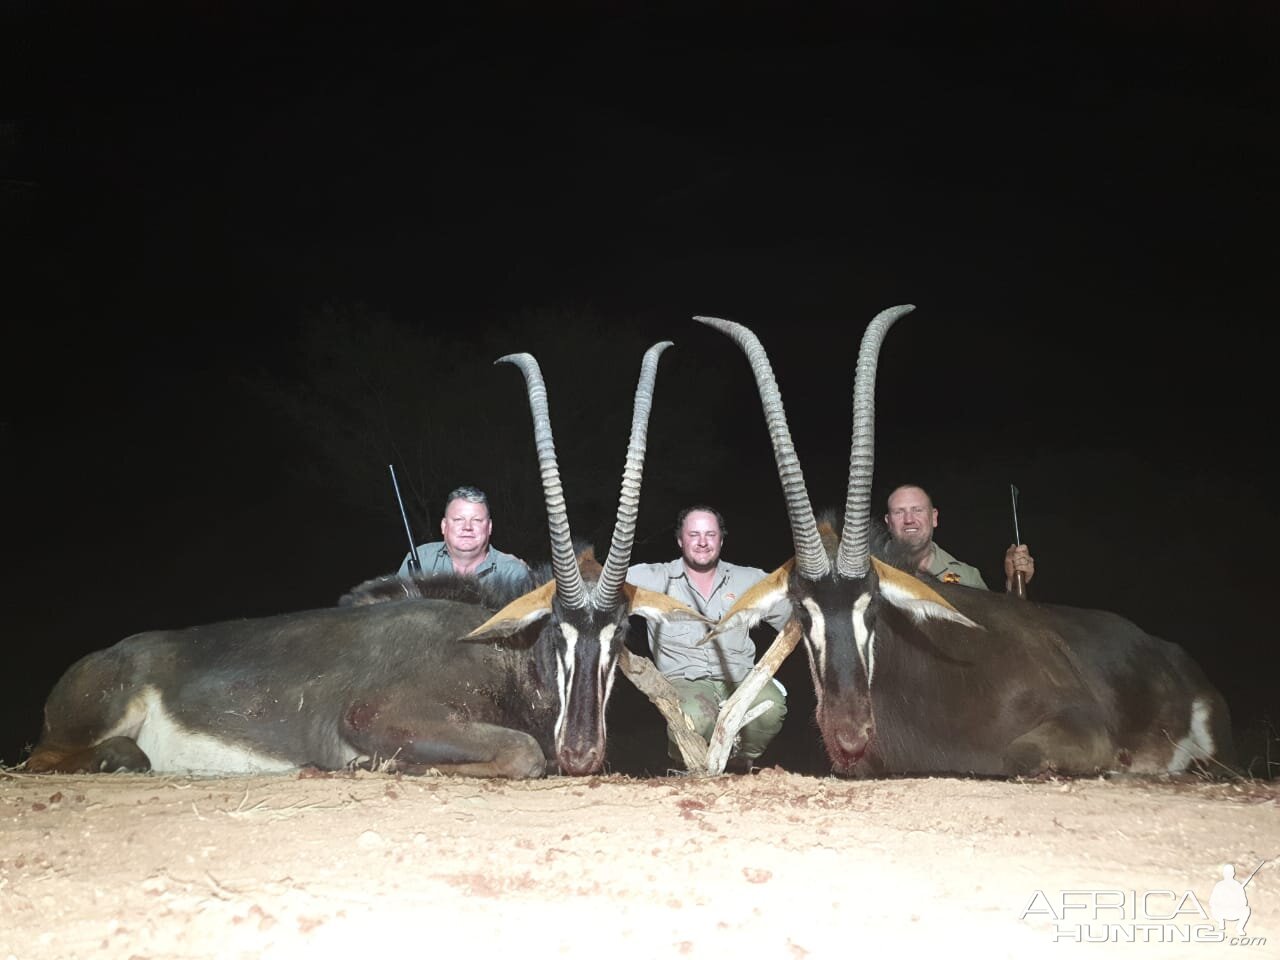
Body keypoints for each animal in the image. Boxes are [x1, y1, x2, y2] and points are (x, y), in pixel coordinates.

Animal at [22, 345, 701, 783]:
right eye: (556, 630)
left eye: (620, 634)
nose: (583, 754)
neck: (494, 652)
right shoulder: (378, 715)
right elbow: (524, 752)